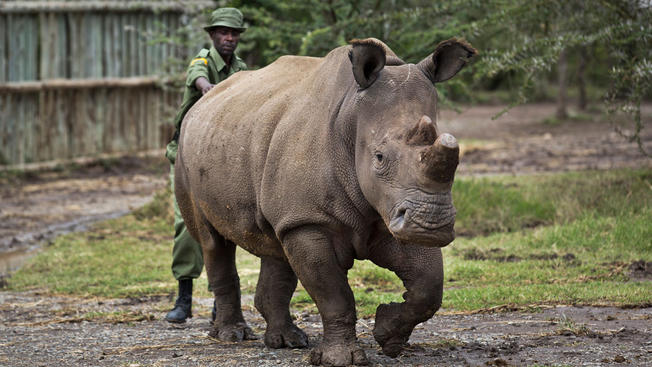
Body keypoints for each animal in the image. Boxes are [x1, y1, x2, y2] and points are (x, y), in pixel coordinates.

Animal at [176, 37, 476, 366]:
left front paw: (387, 336)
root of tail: (202, 103)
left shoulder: (390, 211)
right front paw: (341, 359)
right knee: (212, 241)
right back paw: (232, 336)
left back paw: (287, 341)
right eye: (379, 157)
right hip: (186, 154)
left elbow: (428, 286)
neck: (352, 118)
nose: (431, 224)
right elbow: (333, 294)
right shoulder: (309, 221)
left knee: (275, 244)